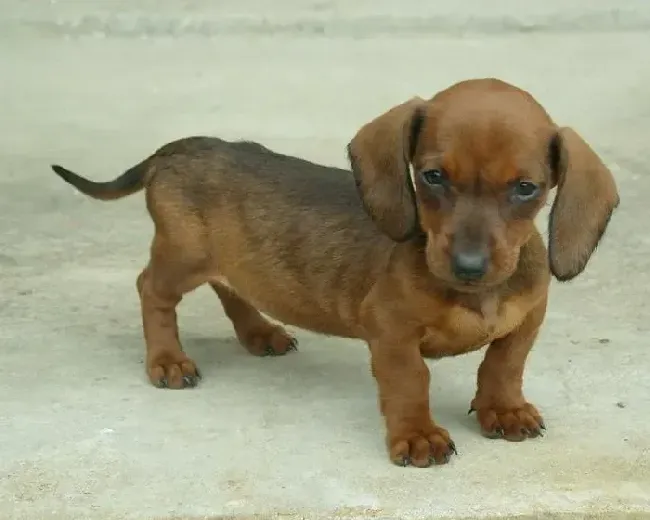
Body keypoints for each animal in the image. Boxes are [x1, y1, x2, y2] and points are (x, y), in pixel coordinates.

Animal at [52, 77, 616, 468]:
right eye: (433, 176)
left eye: (526, 188)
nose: (469, 267)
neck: (474, 294)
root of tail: (178, 147)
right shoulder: (390, 331)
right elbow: (411, 380)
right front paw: (418, 434)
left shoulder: (528, 317)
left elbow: (504, 363)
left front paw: (504, 408)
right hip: (182, 255)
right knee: (152, 290)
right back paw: (168, 360)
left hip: (228, 260)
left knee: (230, 288)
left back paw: (260, 333)